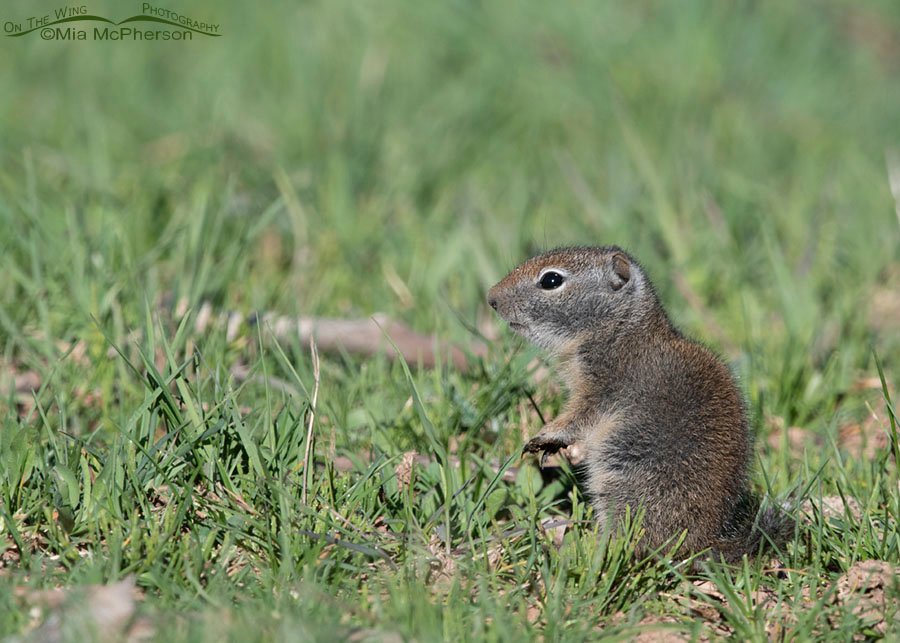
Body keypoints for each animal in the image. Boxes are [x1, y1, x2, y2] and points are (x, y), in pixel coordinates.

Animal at [487, 245, 791, 563]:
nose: (491, 298)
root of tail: (704, 542)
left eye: (551, 280)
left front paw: (544, 436)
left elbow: (577, 418)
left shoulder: (600, 390)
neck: (620, 329)